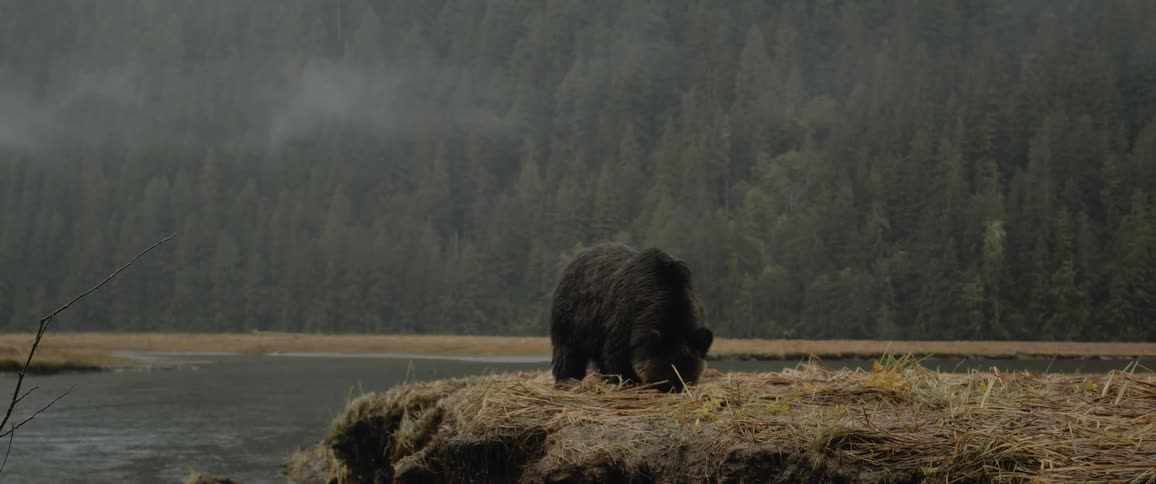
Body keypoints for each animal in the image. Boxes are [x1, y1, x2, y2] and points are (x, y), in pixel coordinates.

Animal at [549, 242, 714, 392]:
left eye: (687, 379)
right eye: (662, 378)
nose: (675, 388)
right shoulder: (624, 320)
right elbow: (617, 358)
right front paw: (625, 381)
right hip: (573, 317)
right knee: (568, 352)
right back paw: (567, 380)